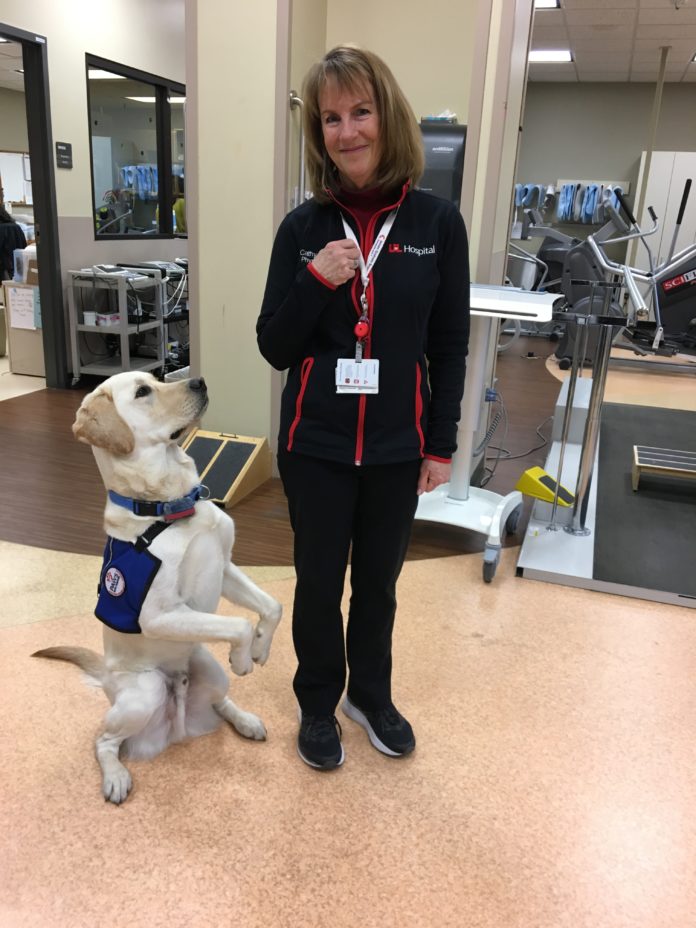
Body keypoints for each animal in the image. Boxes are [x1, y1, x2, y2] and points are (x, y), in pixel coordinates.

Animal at [34, 370, 282, 804]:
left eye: (157, 377)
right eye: (143, 392)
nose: (200, 381)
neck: (169, 507)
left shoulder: (225, 567)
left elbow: (271, 604)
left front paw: (261, 647)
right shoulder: (159, 614)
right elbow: (237, 625)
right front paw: (244, 658)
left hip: (208, 671)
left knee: (221, 702)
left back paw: (246, 720)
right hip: (144, 691)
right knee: (104, 740)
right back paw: (115, 776)